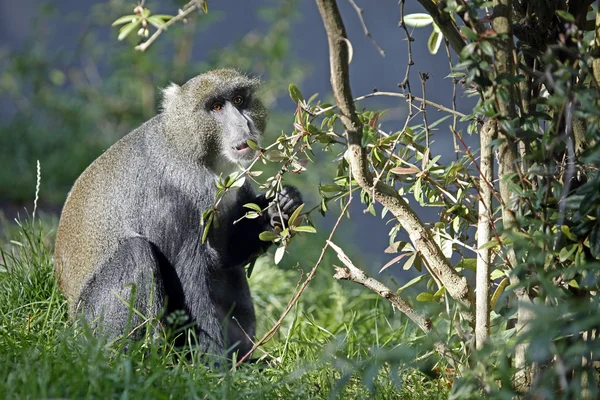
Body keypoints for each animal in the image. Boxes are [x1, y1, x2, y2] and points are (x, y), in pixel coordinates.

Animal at [54, 69, 302, 362]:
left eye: (239, 100)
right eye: (216, 107)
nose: (244, 124)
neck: (192, 151)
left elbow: (229, 254)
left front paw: (283, 204)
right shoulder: (173, 201)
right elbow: (188, 281)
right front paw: (214, 367)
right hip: (94, 320)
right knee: (136, 252)